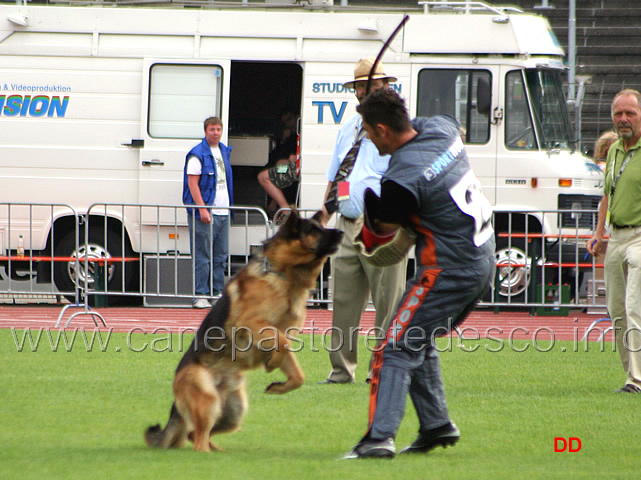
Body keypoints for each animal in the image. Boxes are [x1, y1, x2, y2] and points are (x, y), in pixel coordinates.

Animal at [146, 209, 342, 450]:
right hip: (208, 401)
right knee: (198, 438)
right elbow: (282, 342)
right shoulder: (250, 323)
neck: (283, 275)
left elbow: (298, 374)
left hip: (233, 412)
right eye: (314, 230)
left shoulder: (279, 333)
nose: (342, 232)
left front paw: (278, 384)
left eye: (321, 227)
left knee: (195, 434)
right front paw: (272, 363)